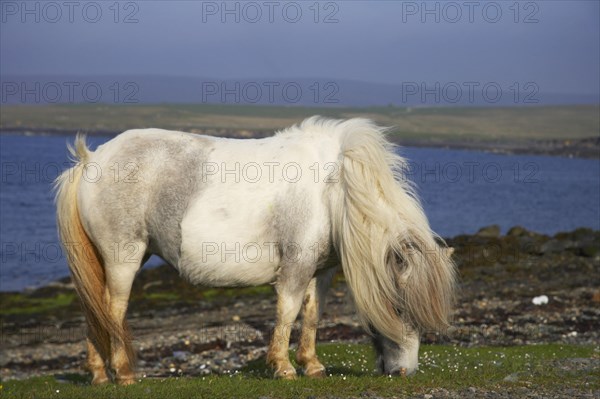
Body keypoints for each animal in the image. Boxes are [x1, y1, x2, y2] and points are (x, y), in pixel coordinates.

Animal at [55, 117, 454, 386]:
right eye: (398, 306)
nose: (403, 371)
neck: (333, 188)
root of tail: (91, 159)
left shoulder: (320, 271)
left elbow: (312, 314)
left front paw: (312, 365)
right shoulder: (296, 265)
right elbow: (288, 312)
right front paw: (283, 367)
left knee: (96, 310)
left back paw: (99, 374)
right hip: (123, 257)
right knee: (112, 309)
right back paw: (123, 373)